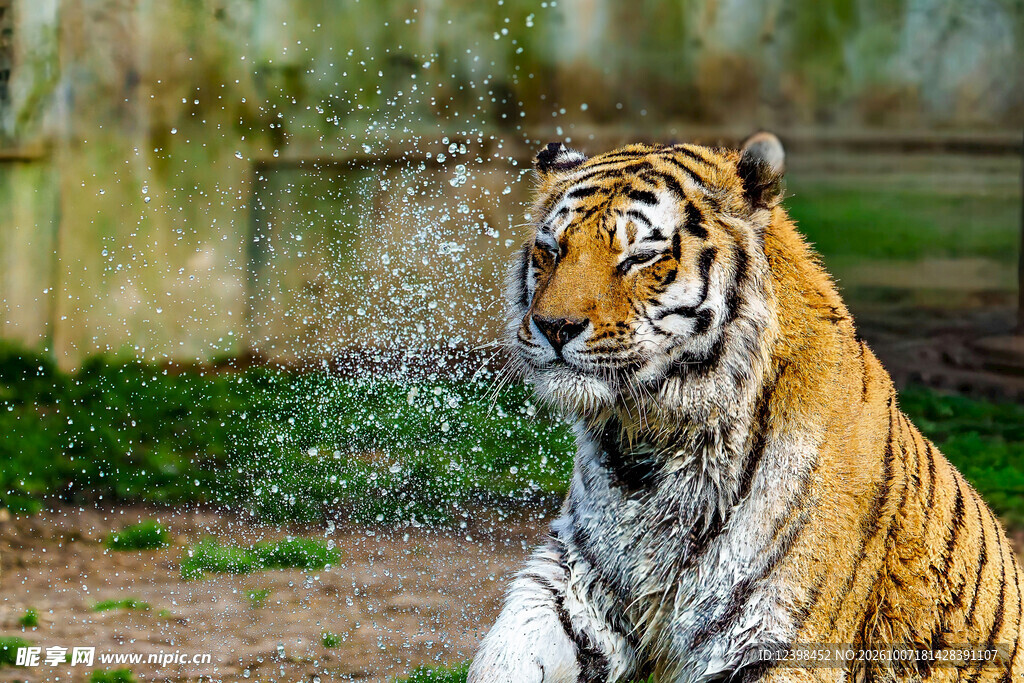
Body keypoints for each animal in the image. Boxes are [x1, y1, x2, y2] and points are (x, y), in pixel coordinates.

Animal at [467, 133, 1023, 683]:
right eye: (552, 249)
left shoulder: (775, 639)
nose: (553, 327)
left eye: (640, 257)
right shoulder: (576, 583)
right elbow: (506, 654)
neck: (649, 442)